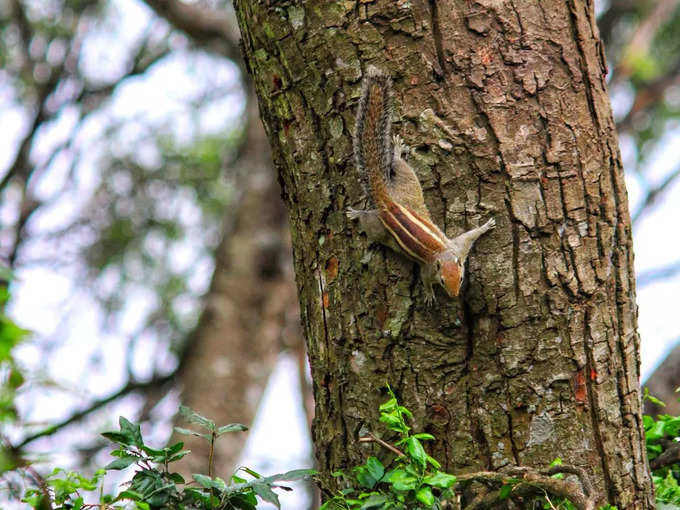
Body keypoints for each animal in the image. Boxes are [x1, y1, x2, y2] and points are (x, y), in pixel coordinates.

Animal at [350, 64, 494, 302]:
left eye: (461, 278)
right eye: (443, 281)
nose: (454, 296)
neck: (442, 255)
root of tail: (387, 201)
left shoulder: (458, 248)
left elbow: (470, 236)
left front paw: (485, 226)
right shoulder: (428, 268)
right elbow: (426, 279)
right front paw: (428, 294)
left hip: (408, 183)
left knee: (399, 165)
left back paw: (397, 150)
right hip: (380, 226)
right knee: (367, 220)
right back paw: (355, 212)